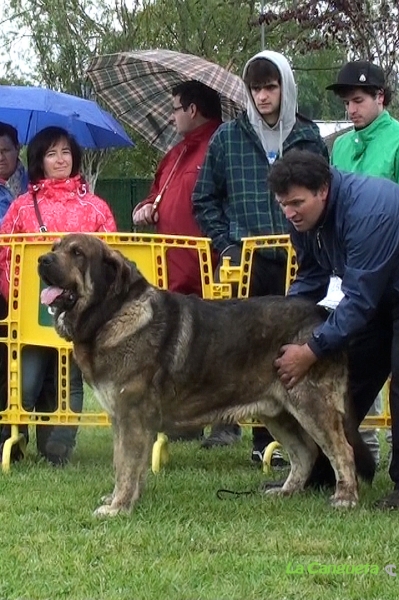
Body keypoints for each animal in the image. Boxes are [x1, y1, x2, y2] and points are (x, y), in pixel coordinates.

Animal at [37, 234, 376, 516]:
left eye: (77, 253)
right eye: (55, 247)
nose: (42, 260)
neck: (110, 314)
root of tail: (322, 314)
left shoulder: (131, 416)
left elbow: (126, 464)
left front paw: (118, 507)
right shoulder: (122, 418)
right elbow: (124, 463)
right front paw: (126, 499)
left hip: (310, 404)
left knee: (341, 450)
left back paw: (345, 498)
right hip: (278, 413)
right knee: (305, 453)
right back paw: (285, 491)